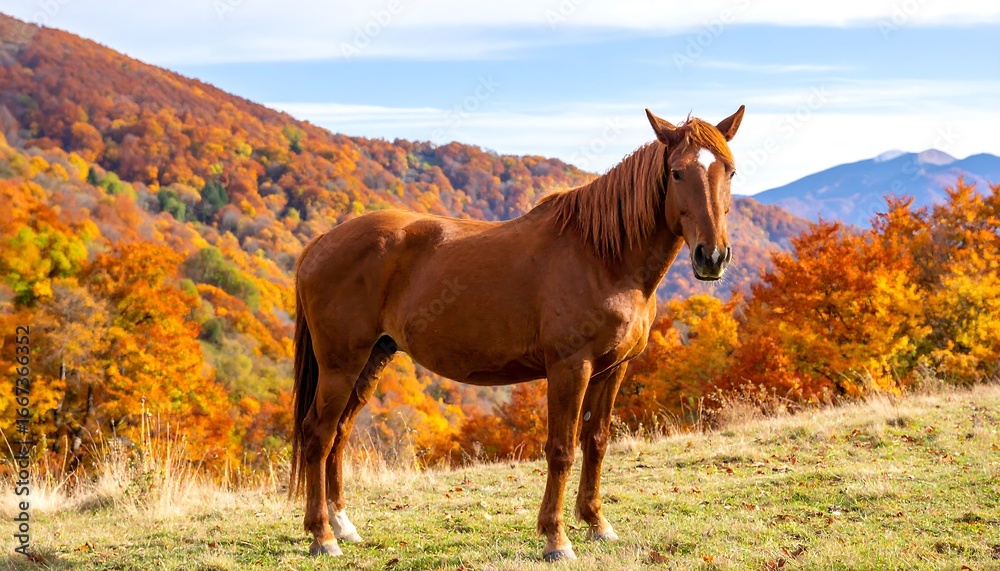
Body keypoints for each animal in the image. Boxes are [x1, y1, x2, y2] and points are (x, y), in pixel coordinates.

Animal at [291, 105, 745, 561]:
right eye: (676, 173)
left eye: (730, 171)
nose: (712, 257)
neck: (602, 255)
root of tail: (320, 242)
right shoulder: (569, 368)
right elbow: (561, 450)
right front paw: (556, 539)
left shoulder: (613, 369)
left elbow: (596, 442)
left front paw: (596, 523)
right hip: (340, 366)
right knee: (318, 434)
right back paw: (322, 536)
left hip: (372, 360)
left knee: (340, 434)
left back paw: (343, 525)